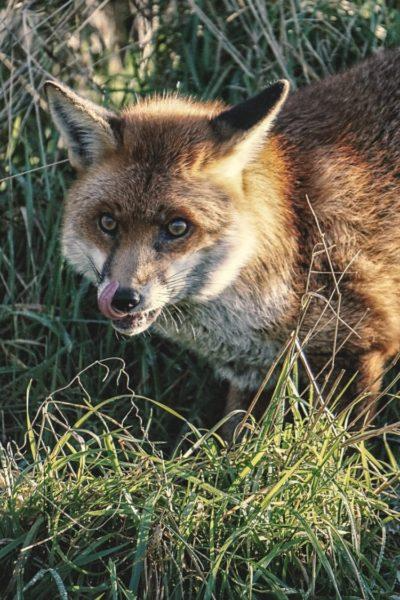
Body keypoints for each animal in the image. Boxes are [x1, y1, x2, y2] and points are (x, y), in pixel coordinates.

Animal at [45, 47, 400, 432]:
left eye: (177, 227)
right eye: (108, 223)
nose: (123, 299)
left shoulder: (358, 347)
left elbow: (333, 441)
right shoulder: (253, 375)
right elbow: (238, 439)